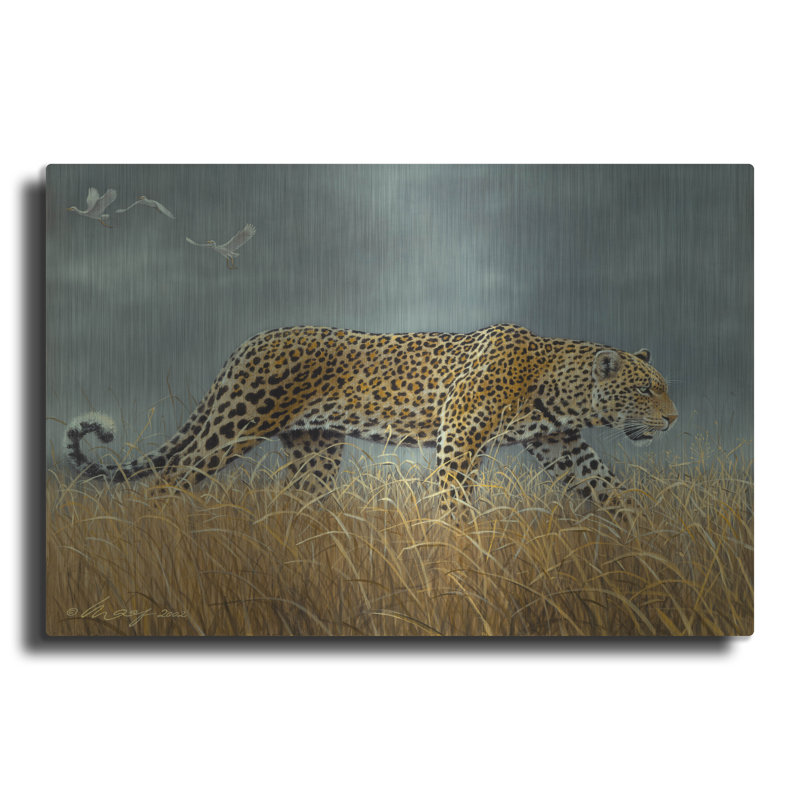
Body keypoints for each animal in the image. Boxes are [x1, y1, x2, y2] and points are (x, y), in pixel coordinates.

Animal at [65, 323, 678, 514]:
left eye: (663, 388)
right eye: (647, 391)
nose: (673, 420)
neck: (558, 387)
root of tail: (248, 343)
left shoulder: (563, 445)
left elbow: (608, 489)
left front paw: (641, 543)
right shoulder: (458, 441)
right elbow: (455, 506)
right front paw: (459, 555)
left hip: (314, 448)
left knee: (298, 501)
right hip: (235, 426)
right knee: (170, 478)